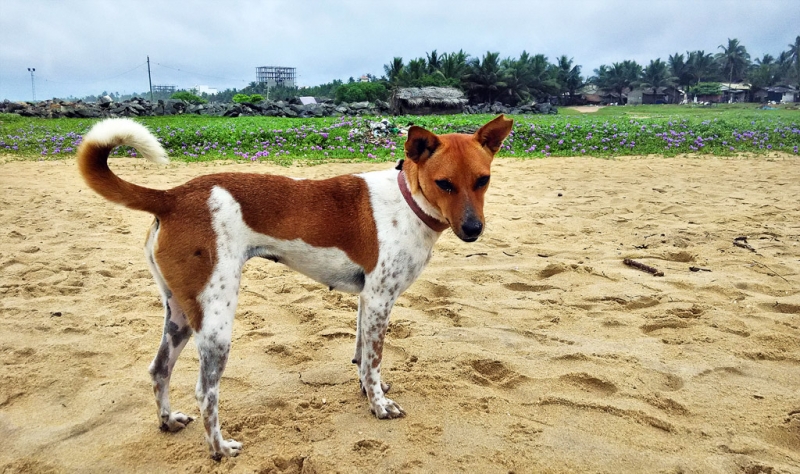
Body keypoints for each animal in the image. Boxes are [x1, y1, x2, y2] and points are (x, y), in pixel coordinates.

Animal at [75, 115, 512, 460]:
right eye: (444, 184)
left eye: (483, 181)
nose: (473, 229)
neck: (408, 202)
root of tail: (172, 195)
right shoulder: (379, 300)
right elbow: (373, 361)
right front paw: (378, 404)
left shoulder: (368, 301)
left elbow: (361, 355)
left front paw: (366, 389)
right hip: (215, 322)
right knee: (205, 392)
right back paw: (219, 449)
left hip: (181, 314)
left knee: (159, 369)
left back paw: (168, 421)